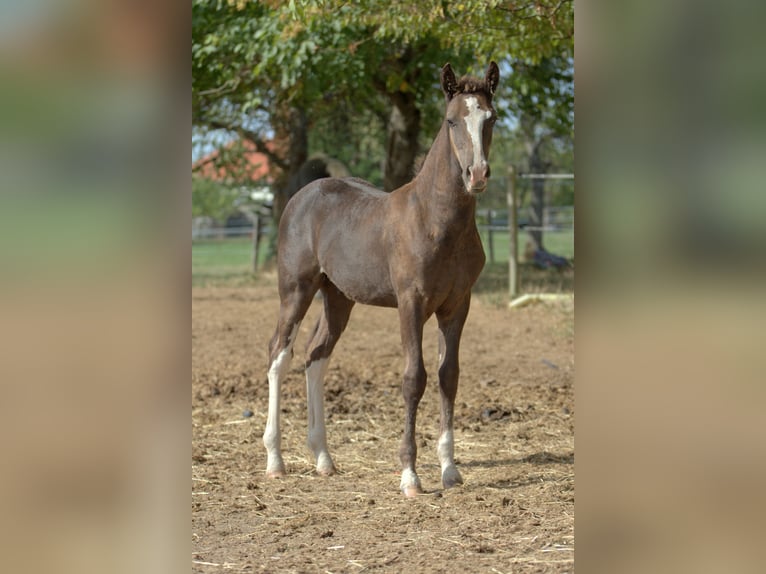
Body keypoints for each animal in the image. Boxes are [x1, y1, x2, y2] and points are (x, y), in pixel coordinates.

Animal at [263, 62, 499, 497]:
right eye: (451, 120)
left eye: (490, 118)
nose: (476, 174)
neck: (437, 220)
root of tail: (303, 195)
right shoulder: (411, 302)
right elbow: (413, 378)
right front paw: (410, 476)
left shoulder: (457, 305)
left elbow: (448, 376)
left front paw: (450, 470)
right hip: (296, 290)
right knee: (279, 354)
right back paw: (275, 460)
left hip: (338, 297)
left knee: (316, 355)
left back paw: (324, 459)